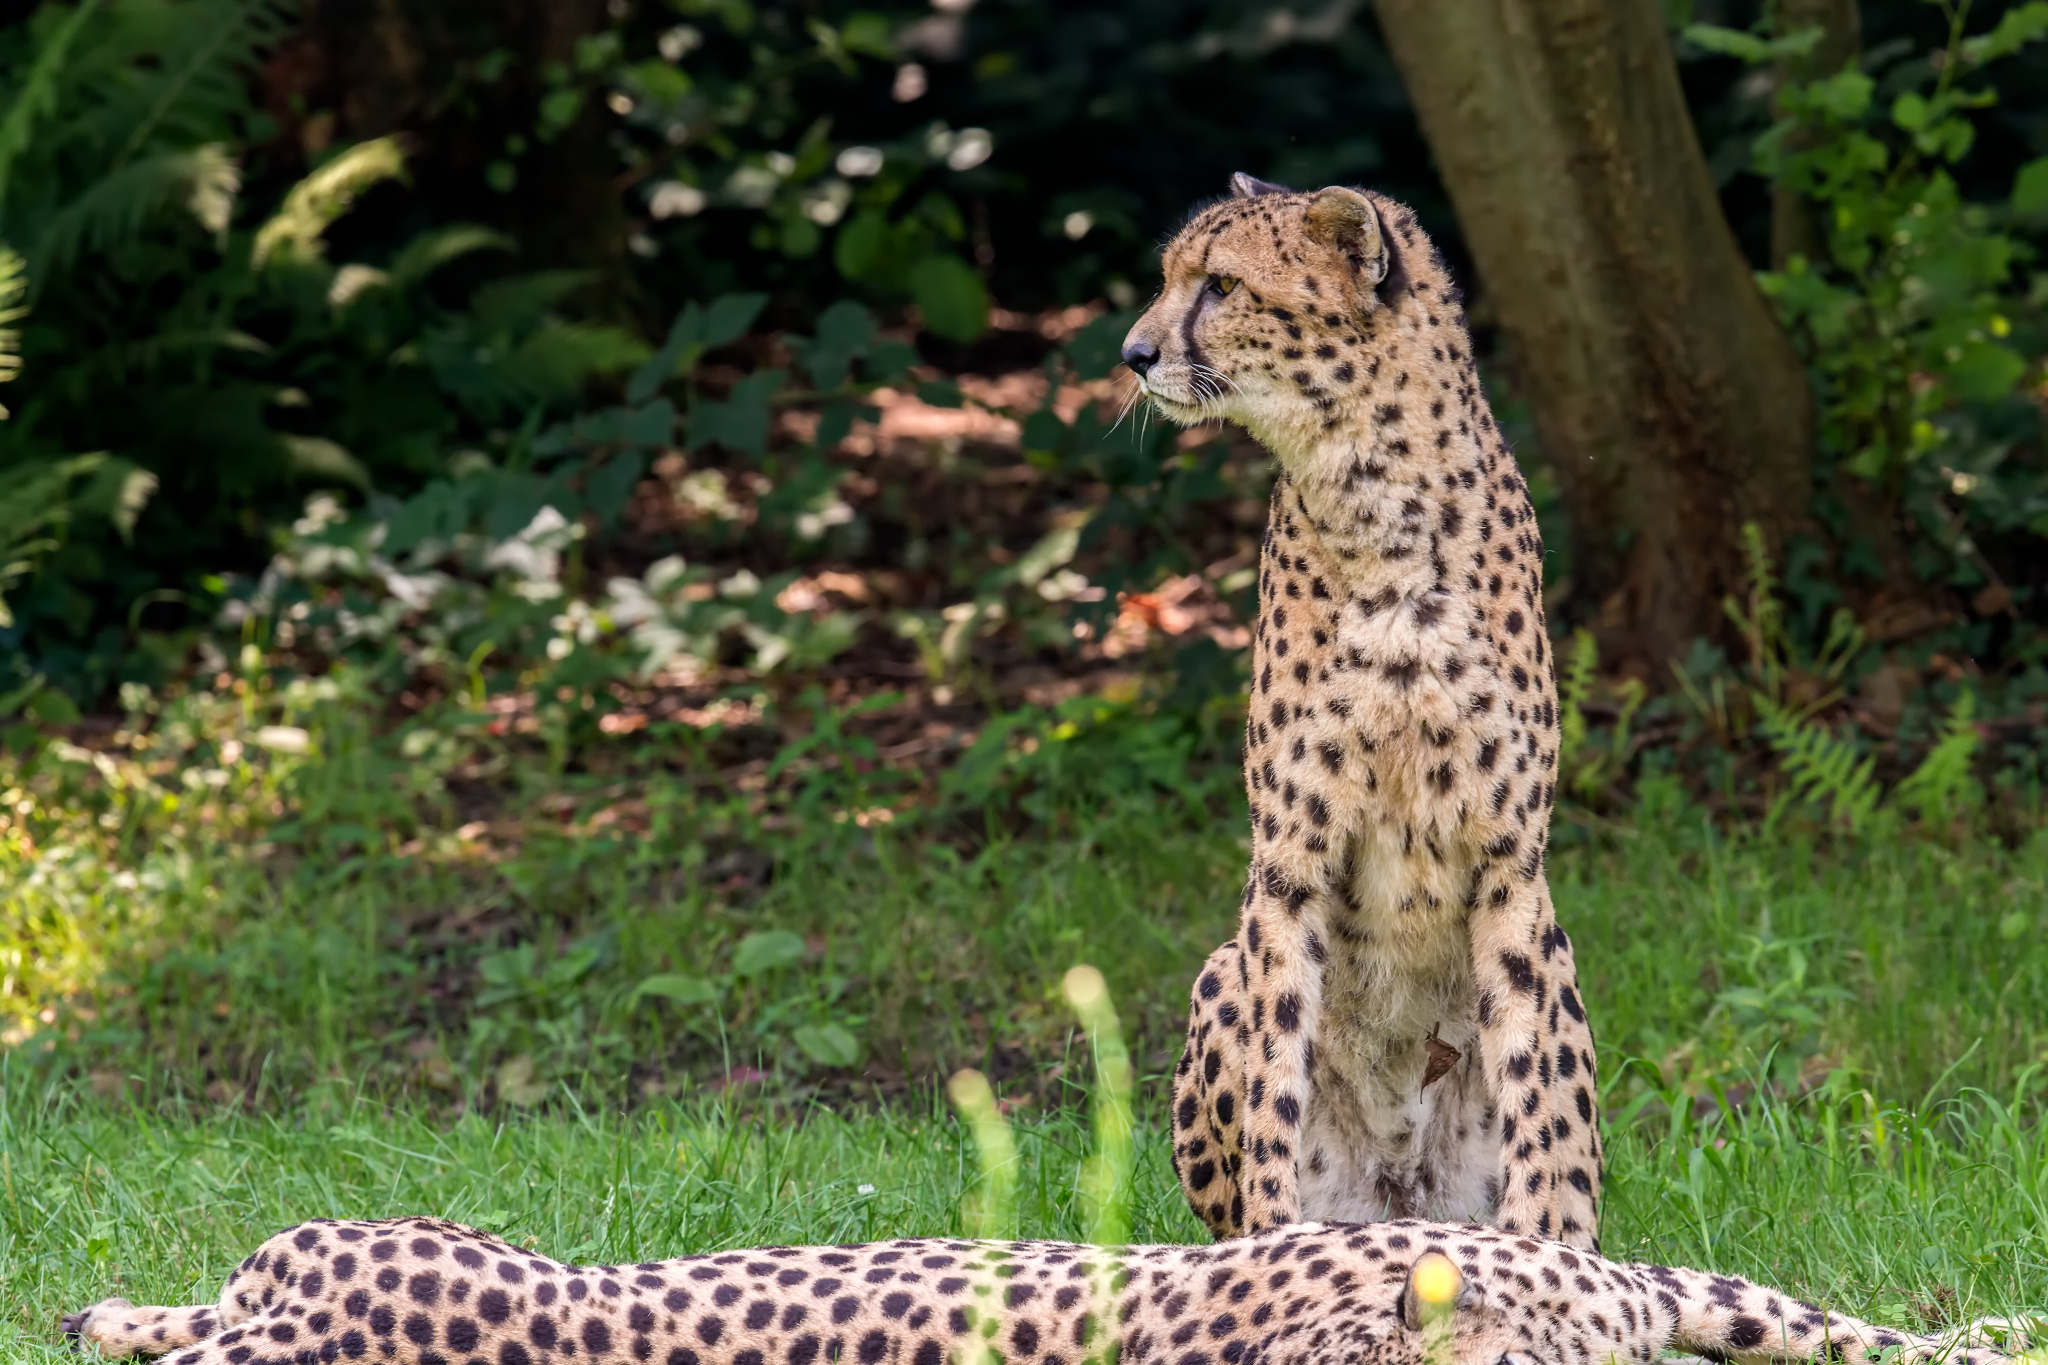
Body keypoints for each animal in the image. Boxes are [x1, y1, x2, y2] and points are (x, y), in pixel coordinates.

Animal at [1122, 175, 1598, 1245]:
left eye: (1220, 286)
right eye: (1168, 277)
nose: (1133, 353)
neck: (1373, 499)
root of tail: (1401, 1193)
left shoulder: (1513, 867)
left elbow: (1536, 1101)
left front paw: (1543, 1251)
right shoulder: (1284, 866)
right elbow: (1274, 1093)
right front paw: (1274, 1250)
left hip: (1560, 957)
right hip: (1222, 963)